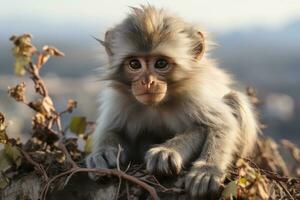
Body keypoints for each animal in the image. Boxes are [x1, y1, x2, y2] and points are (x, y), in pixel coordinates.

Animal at [86, 5, 258, 200]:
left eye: (161, 63)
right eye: (134, 64)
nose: (147, 82)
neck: (158, 105)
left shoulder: (195, 96)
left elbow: (223, 125)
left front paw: (205, 169)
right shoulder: (119, 101)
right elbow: (112, 130)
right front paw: (102, 154)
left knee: (233, 99)